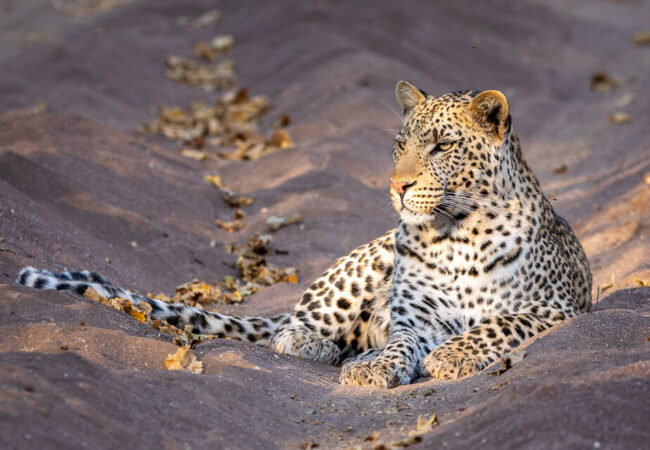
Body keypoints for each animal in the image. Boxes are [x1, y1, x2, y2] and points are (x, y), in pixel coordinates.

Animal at [17, 81, 588, 386]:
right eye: (400, 144)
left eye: (442, 146)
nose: (398, 185)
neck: (455, 235)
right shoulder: (417, 317)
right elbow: (402, 341)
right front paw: (379, 366)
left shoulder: (558, 308)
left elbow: (500, 323)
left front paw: (452, 355)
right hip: (364, 267)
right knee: (288, 330)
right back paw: (332, 349)